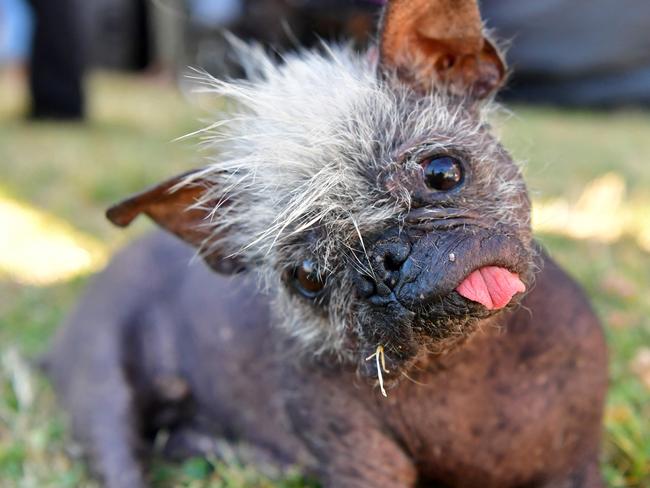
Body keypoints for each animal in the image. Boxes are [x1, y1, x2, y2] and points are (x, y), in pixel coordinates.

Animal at [46, 1, 608, 486]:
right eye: (307, 278)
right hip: (102, 384)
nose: (384, 262)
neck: (464, 365)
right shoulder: (361, 463)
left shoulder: (578, 468)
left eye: (442, 173)